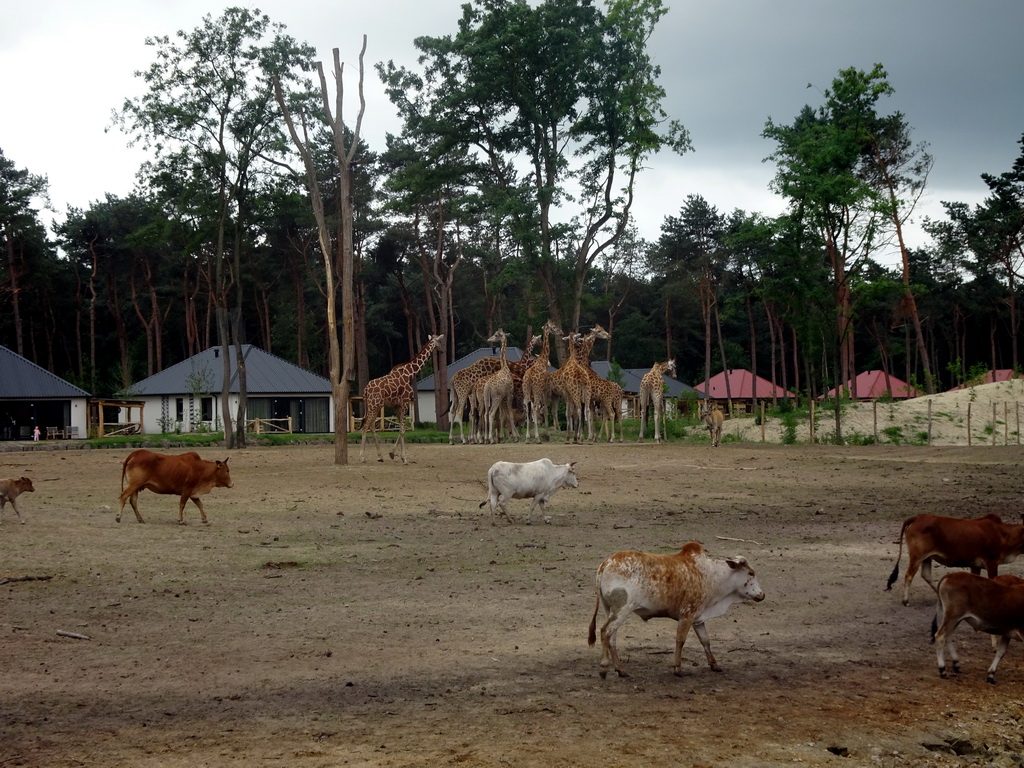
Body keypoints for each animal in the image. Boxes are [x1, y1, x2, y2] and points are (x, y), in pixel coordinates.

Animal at [589, 540, 765, 679]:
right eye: (751, 573)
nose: (762, 595)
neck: (712, 576)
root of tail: (606, 563)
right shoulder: (687, 614)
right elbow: (680, 641)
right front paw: (678, 669)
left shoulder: (698, 618)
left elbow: (705, 641)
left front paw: (714, 665)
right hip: (622, 610)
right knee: (605, 632)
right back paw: (604, 668)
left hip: (610, 610)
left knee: (611, 638)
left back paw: (621, 670)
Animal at [884, 514, 1024, 610]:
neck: (1003, 534)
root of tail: (918, 517)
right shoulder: (991, 562)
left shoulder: (975, 565)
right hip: (917, 557)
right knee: (909, 576)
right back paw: (905, 601)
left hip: (926, 558)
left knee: (926, 575)